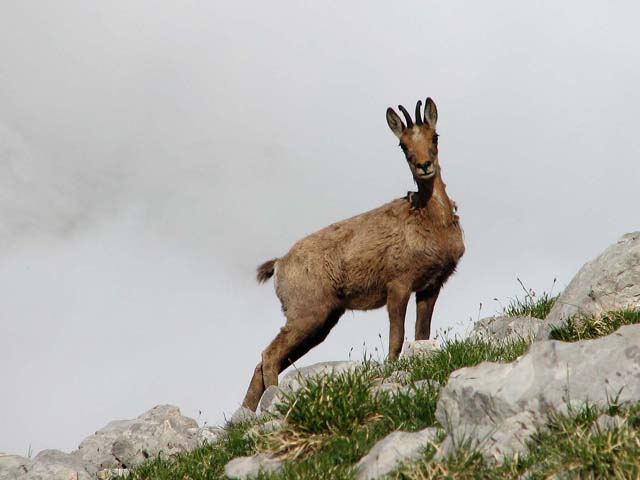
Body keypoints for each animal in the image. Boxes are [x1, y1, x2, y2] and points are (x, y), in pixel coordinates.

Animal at [242, 97, 464, 411]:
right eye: (403, 145)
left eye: (435, 136)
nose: (424, 166)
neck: (430, 219)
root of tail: (280, 264)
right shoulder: (398, 285)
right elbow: (397, 338)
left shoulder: (430, 286)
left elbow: (422, 334)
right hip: (307, 313)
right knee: (269, 355)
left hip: (322, 321)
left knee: (262, 363)